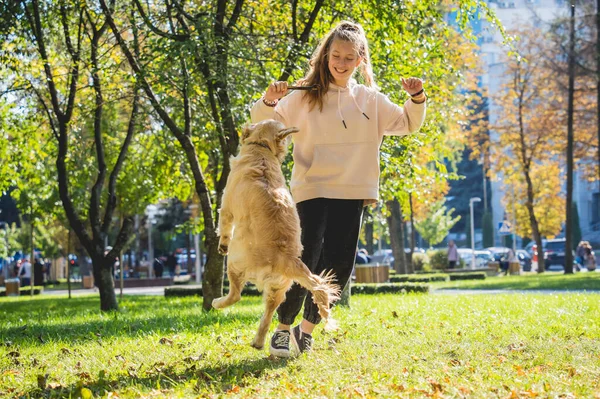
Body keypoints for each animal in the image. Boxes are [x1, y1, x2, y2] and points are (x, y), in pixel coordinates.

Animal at [213, 120, 340, 352]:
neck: (261, 148)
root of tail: (286, 259)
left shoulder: (226, 205)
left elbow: (224, 226)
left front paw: (221, 244)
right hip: (279, 289)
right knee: (269, 313)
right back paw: (259, 341)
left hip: (235, 262)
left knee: (235, 295)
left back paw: (217, 302)